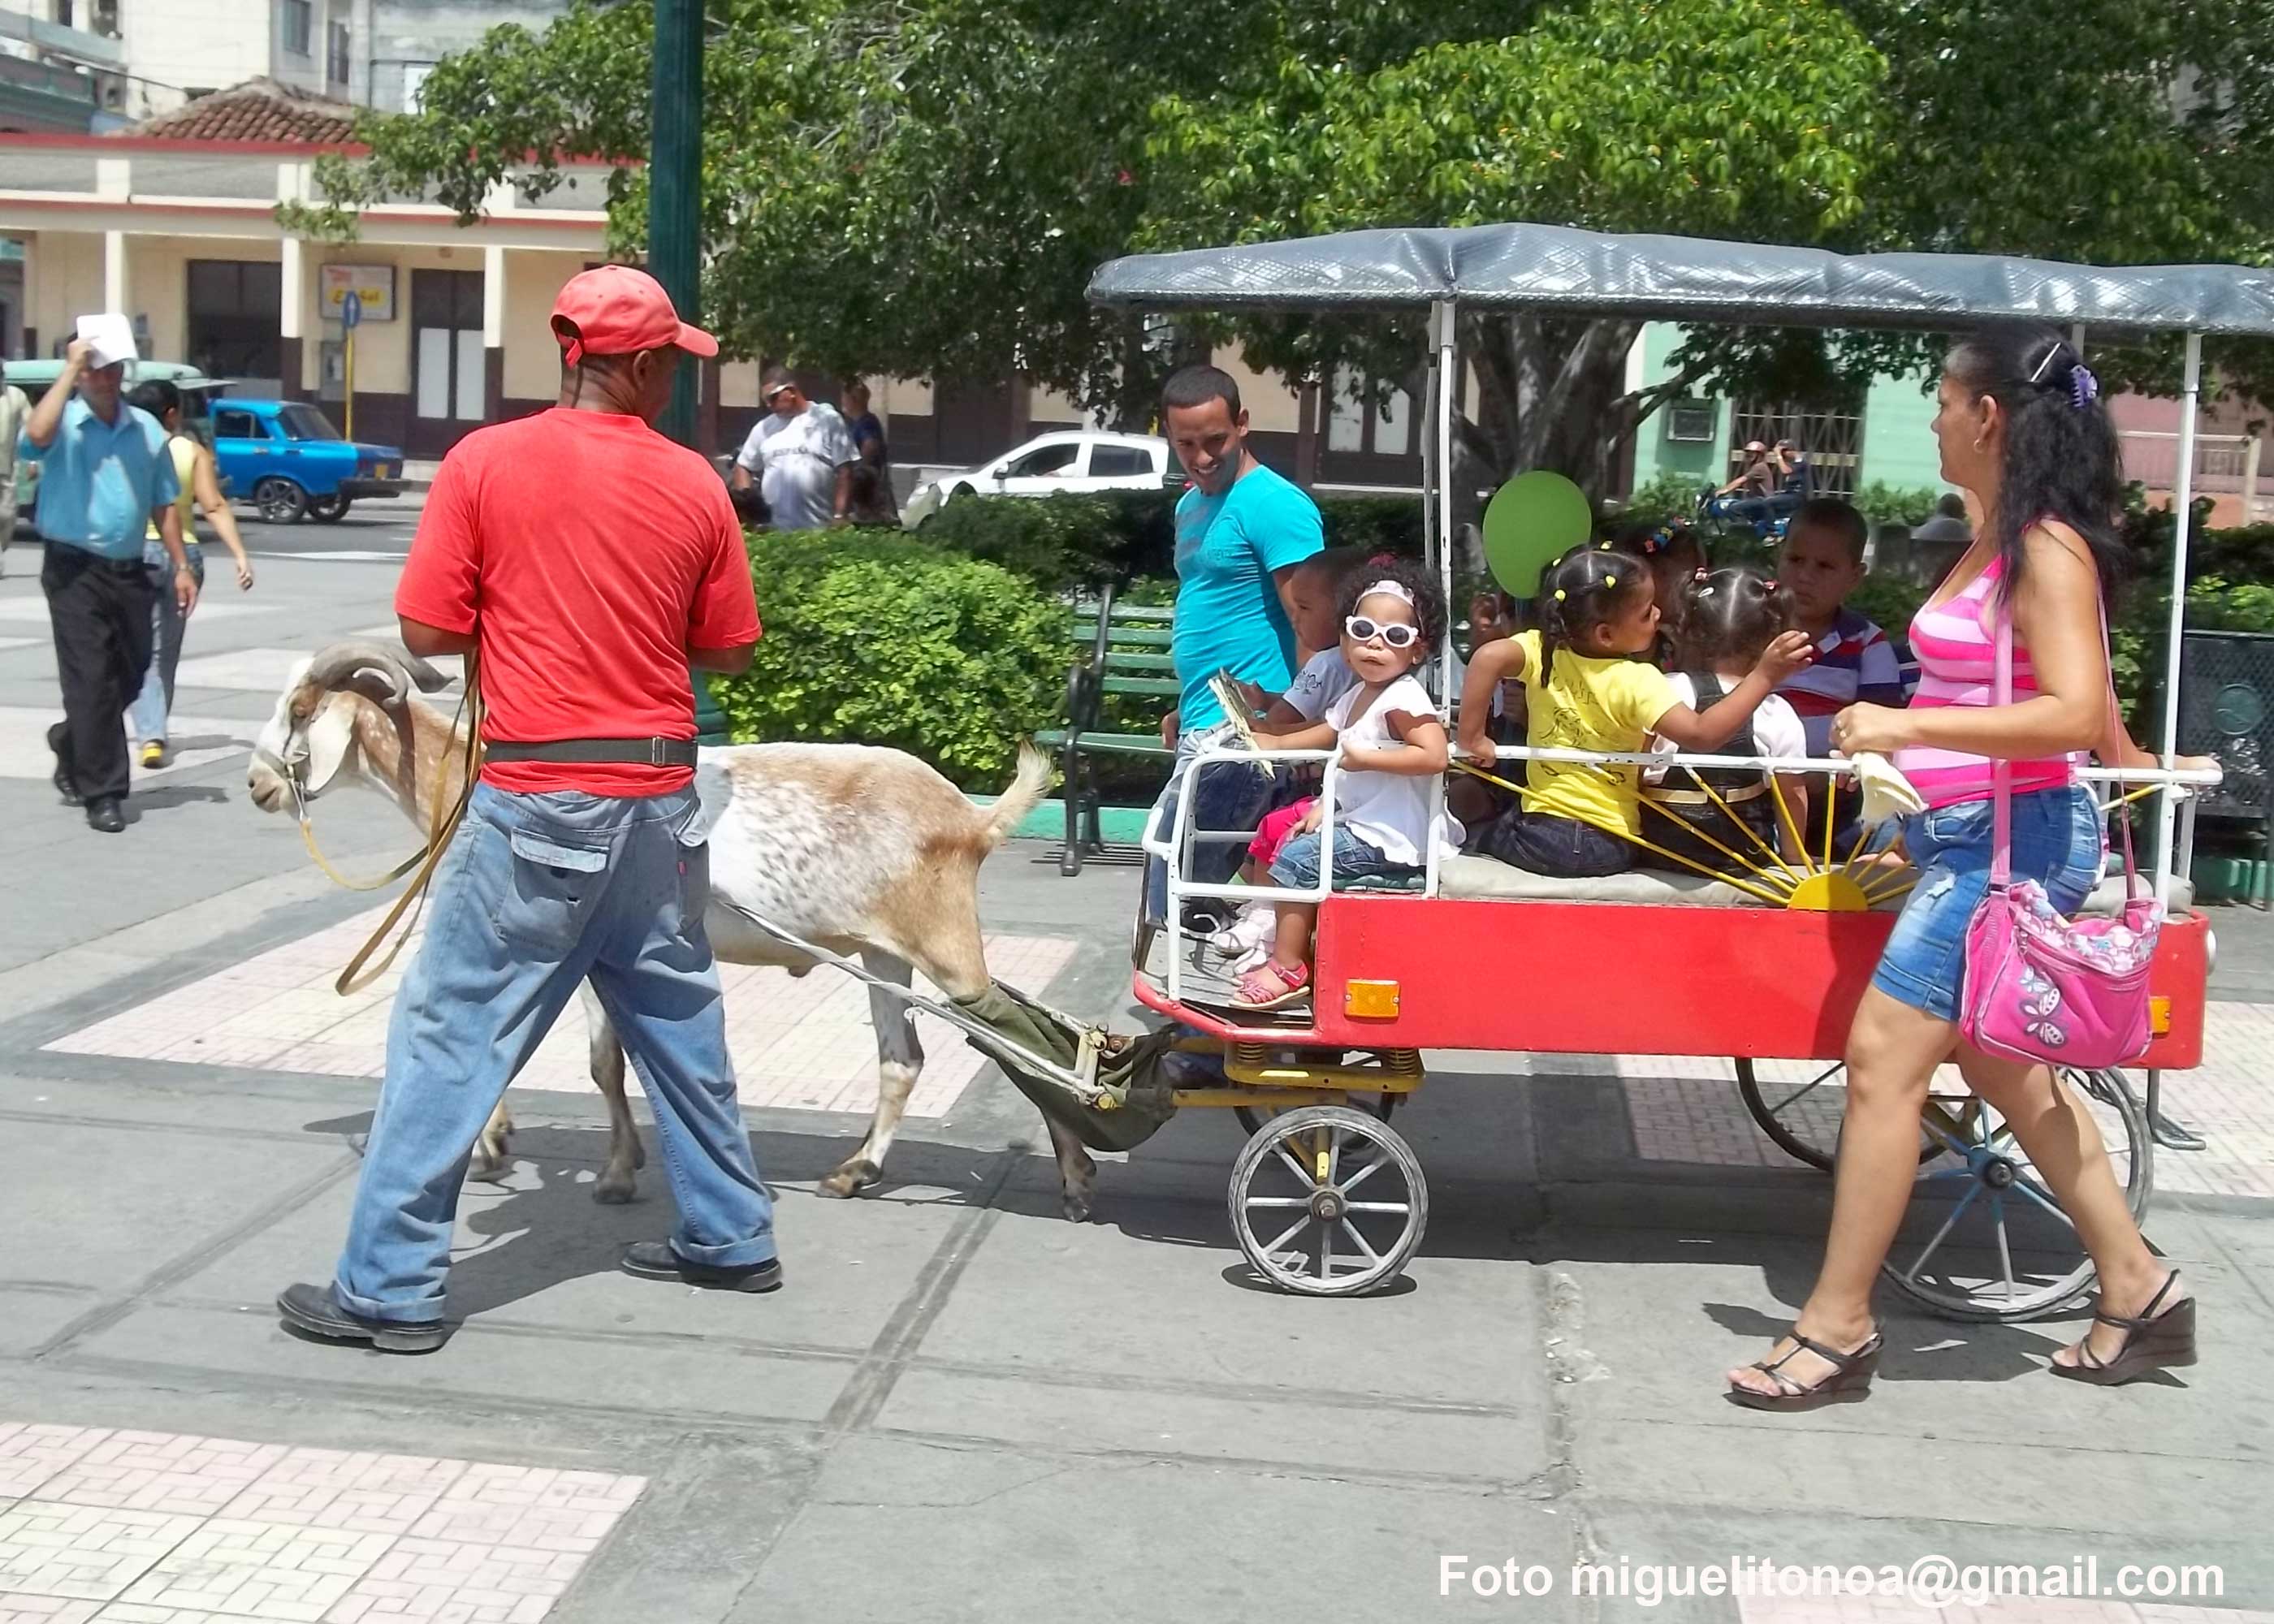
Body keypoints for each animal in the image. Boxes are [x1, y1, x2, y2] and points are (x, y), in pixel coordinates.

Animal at [249, 637, 1100, 1219]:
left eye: (301, 712)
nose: (258, 785)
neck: (468, 777)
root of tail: (970, 818)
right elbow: (603, 1059)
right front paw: (598, 1161)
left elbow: (536, 1047)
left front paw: (545, 1156)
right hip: (882, 954)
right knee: (906, 1061)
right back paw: (856, 1171)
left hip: (944, 944)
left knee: (1024, 1043)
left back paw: (1074, 1172)